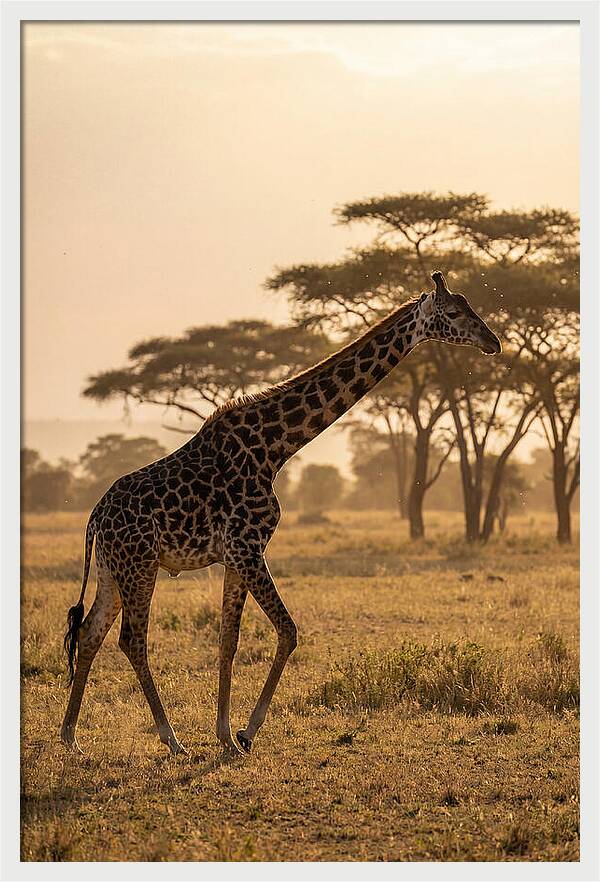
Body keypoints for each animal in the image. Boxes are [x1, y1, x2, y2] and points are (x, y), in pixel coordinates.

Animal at [61, 271, 501, 756]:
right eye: (454, 312)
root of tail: (95, 518)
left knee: (90, 632)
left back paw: (70, 736)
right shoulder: (248, 547)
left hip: (112, 570)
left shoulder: (236, 556)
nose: (494, 342)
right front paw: (246, 731)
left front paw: (225, 736)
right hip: (140, 565)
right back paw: (171, 739)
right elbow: (288, 631)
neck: (275, 448)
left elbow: (228, 640)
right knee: (131, 639)